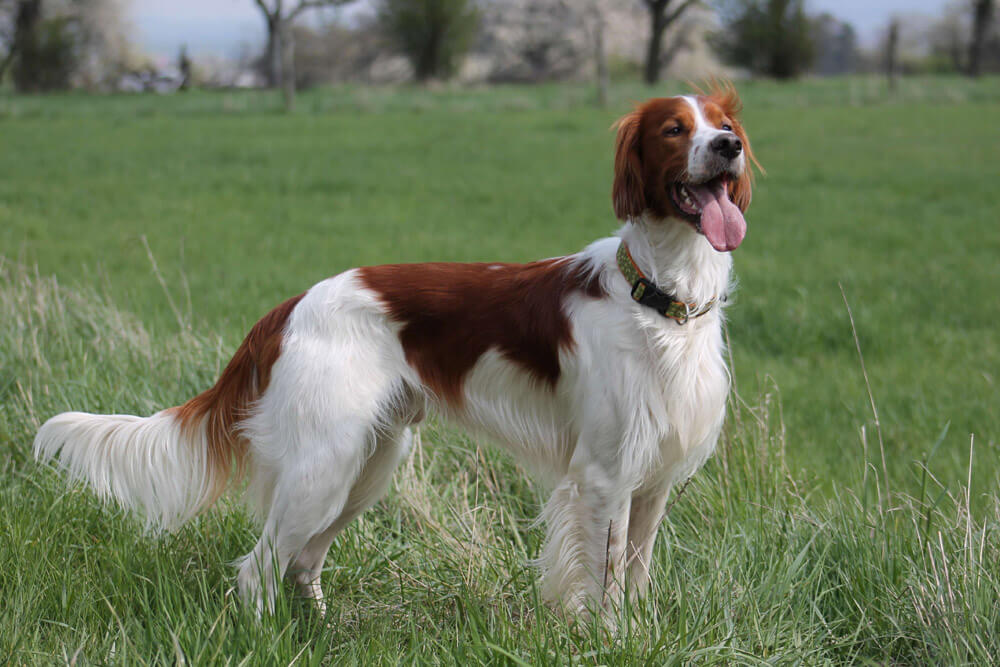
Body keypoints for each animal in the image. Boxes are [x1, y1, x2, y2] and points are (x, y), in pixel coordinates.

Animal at [37, 86, 756, 624]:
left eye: (723, 125)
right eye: (673, 129)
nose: (729, 147)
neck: (658, 295)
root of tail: (292, 304)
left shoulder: (653, 478)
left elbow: (636, 573)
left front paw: (641, 634)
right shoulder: (604, 474)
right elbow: (603, 585)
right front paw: (608, 640)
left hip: (369, 462)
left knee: (302, 561)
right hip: (323, 465)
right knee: (258, 568)